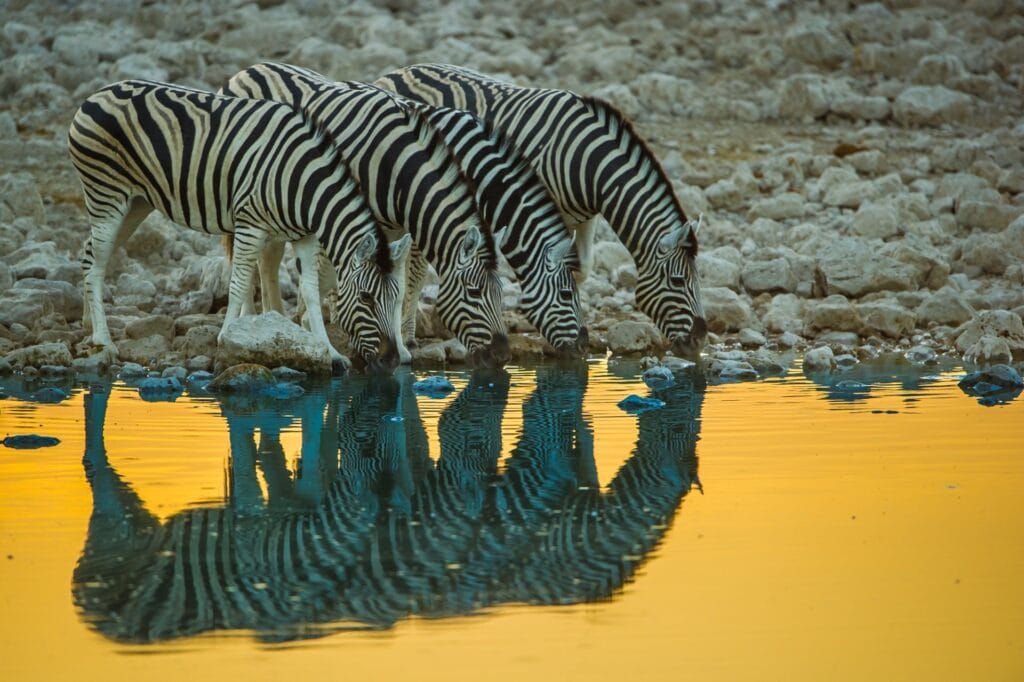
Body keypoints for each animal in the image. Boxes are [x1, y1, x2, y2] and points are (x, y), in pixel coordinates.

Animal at [68, 79, 409, 373]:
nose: (392, 361)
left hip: (136, 203)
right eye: (366, 298)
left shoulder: (305, 236)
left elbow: (311, 292)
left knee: (88, 253)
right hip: (106, 195)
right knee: (96, 263)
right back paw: (104, 341)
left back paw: (88, 323)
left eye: (397, 298)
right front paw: (226, 337)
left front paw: (331, 353)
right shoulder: (249, 224)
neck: (304, 185)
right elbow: (239, 284)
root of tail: (98, 93)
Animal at [220, 63, 510, 368]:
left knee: (267, 259)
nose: (503, 355)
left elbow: (396, 285)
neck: (394, 167)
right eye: (475, 292)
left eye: (501, 292)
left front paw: (399, 349)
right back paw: (250, 320)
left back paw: (273, 316)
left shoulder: (397, 229)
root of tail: (247, 70)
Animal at [376, 64, 708, 358]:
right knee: (415, 268)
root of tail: (397, 72)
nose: (700, 340)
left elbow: (580, 269)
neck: (589, 162)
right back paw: (407, 334)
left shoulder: (586, 218)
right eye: (678, 281)